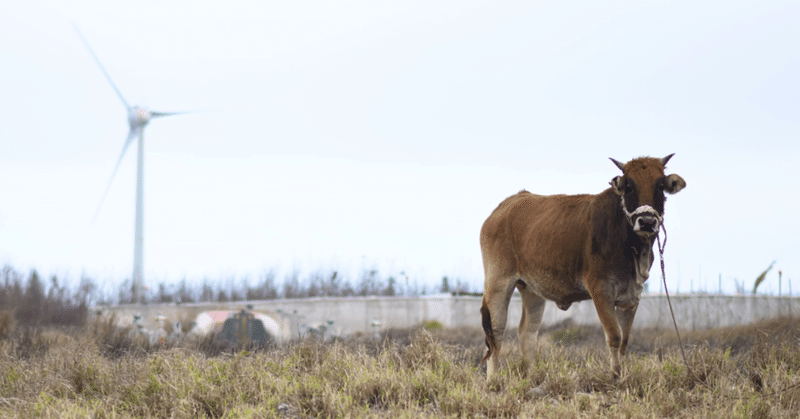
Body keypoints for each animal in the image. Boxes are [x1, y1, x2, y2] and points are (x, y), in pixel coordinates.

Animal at [478, 156, 684, 378]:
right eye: (629, 186)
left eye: (660, 186)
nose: (646, 221)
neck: (634, 250)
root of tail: (505, 206)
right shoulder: (600, 289)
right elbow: (615, 336)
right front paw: (615, 376)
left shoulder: (632, 296)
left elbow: (624, 340)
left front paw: (621, 375)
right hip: (498, 282)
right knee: (495, 332)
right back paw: (493, 379)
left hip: (532, 290)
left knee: (527, 332)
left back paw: (531, 377)